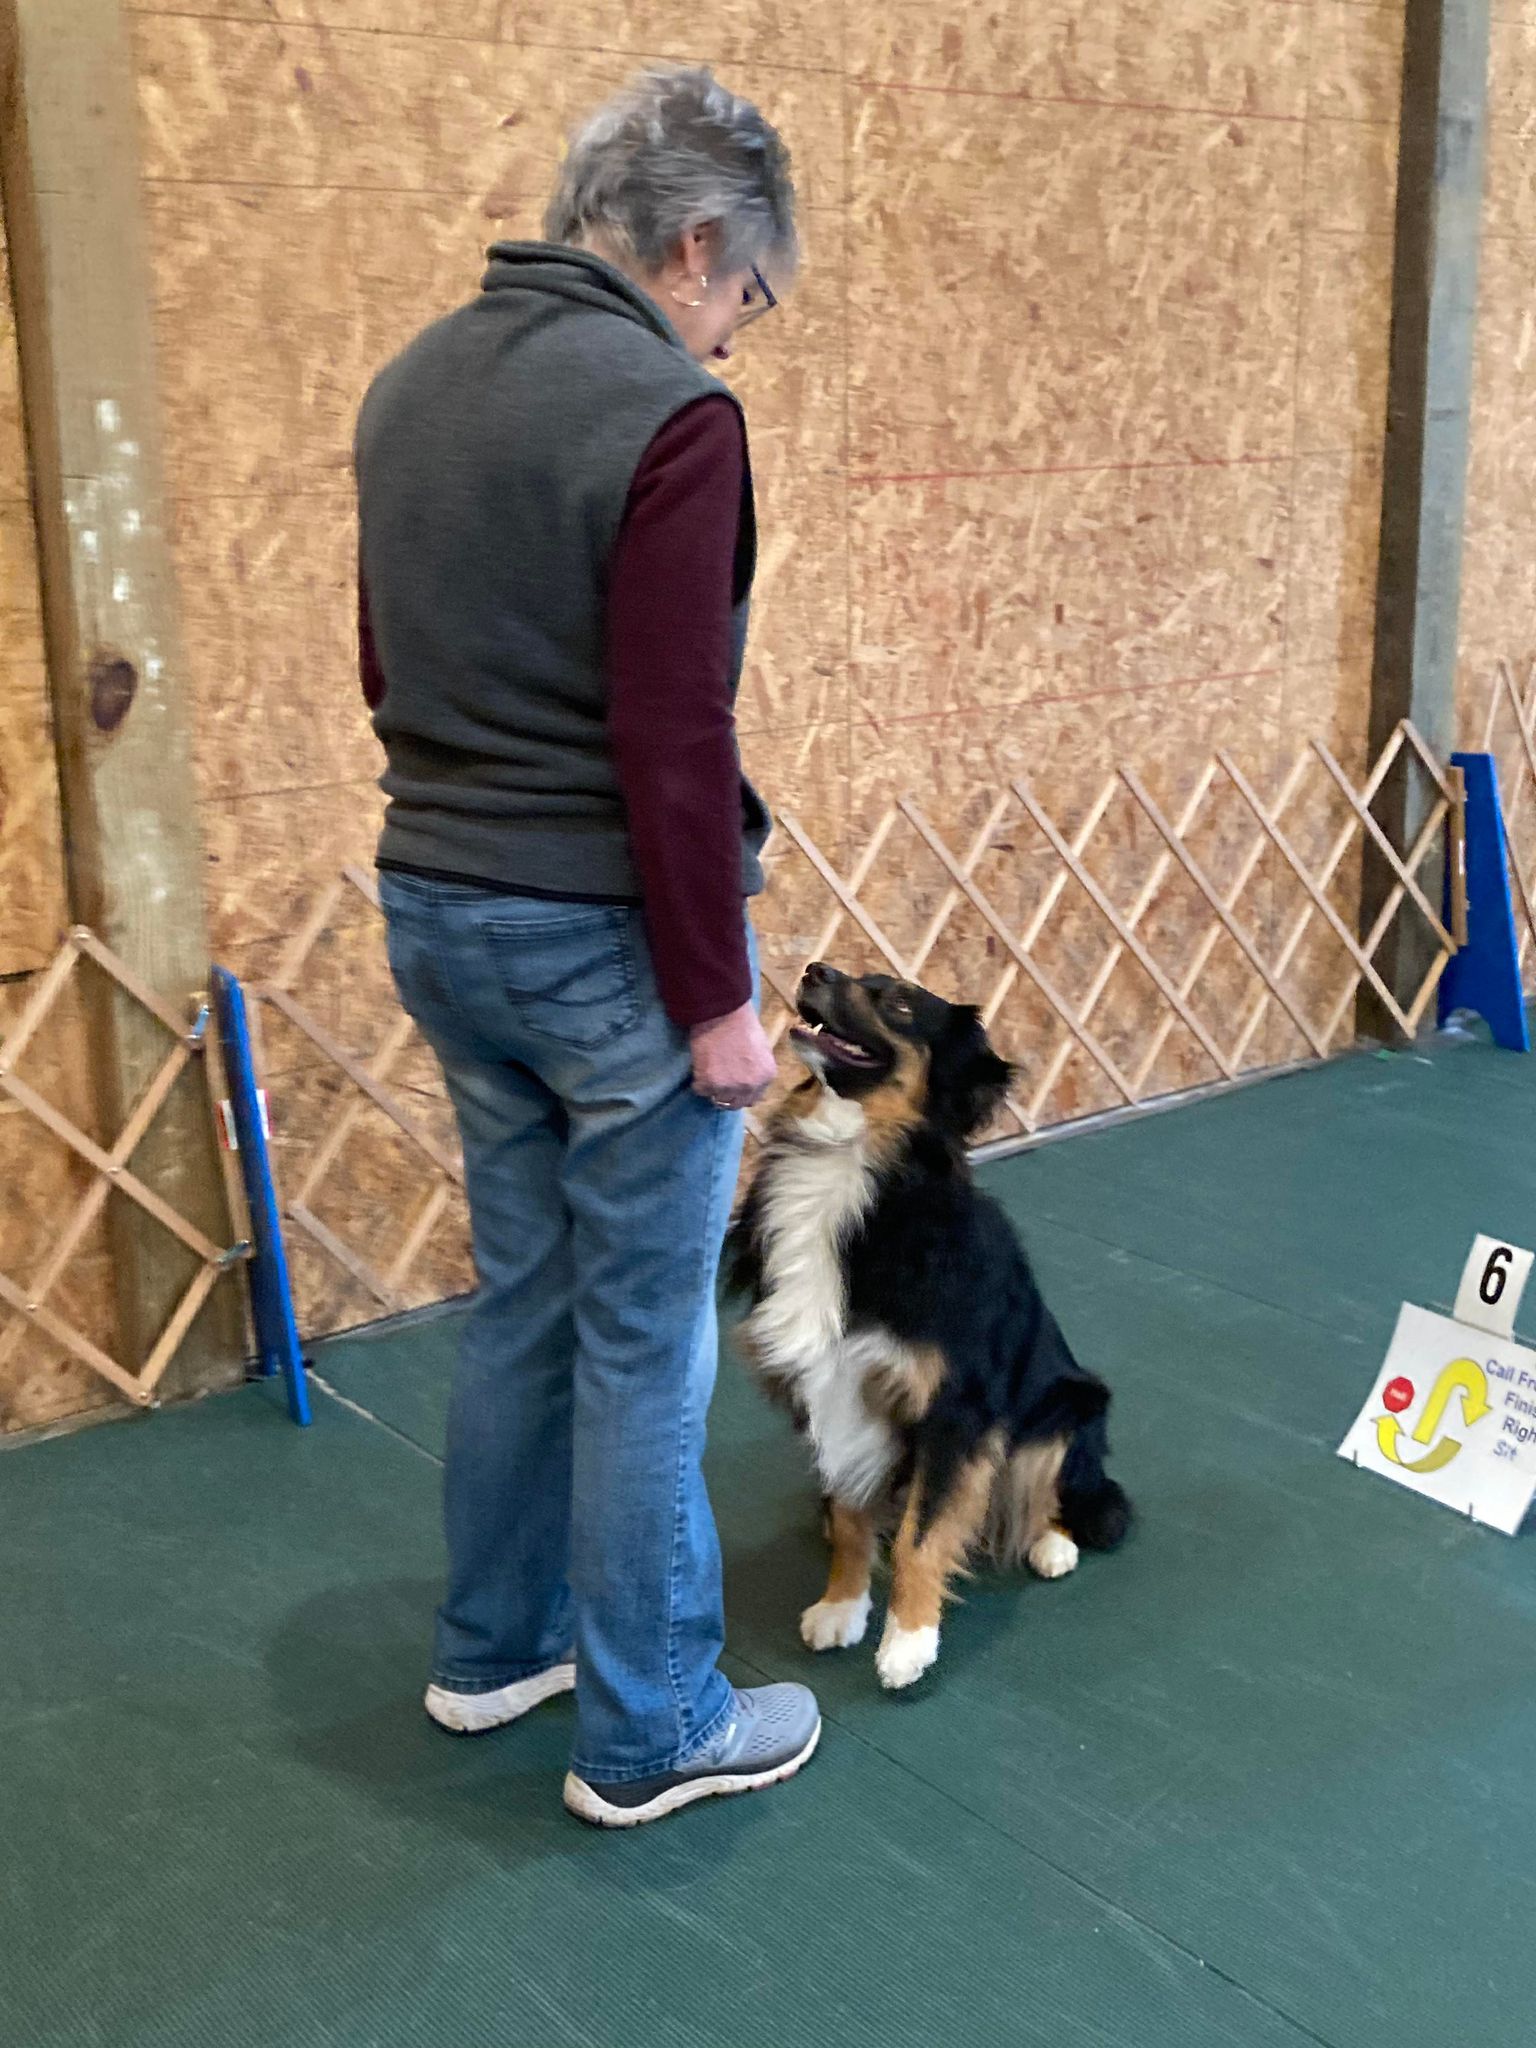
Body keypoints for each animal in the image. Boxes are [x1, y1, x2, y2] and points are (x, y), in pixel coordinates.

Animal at [733, 966, 1130, 1687]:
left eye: (897, 1001)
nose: (813, 970)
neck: (856, 1162)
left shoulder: (956, 1410)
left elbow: (923, 1537)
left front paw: (909, 1641)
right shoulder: (832, 1389)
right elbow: (850, 1514)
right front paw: (842, 1605)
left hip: (1069, 1406)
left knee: (1068, 1494)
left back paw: (1052, 1543)